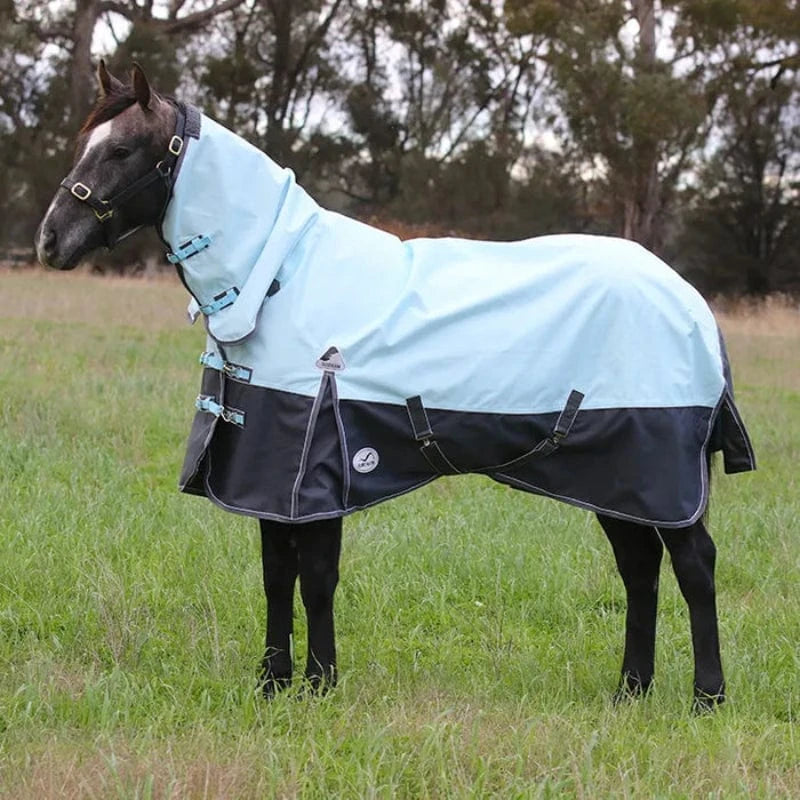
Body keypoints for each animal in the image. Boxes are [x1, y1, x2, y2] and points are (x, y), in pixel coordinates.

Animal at [36, 62, 755, 711]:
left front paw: (318, 685)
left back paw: (707, 697)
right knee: (639, 569)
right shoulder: (266, 477)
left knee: (694, 566)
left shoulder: (313, 470)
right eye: (83, 144)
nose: (50, 240)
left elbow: (316, 578)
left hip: (662, 477)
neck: (279, 278)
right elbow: (276, 576)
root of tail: (692, 303)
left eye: (123, 149)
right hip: (618, 481)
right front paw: (272, 684)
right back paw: (630, 691)